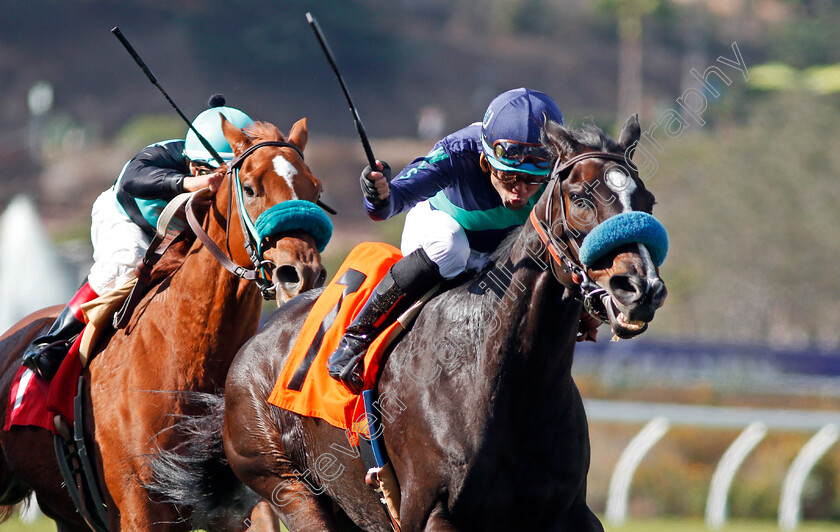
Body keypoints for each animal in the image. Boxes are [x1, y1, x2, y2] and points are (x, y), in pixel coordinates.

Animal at [0, 115, 330, 528]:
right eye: (251, 188)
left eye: (315, 191)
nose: (301, 273)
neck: (183, 358)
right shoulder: (139, 506)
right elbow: (139, 173)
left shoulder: (243, 499)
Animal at [148, 114, 668, 528]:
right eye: (579, 197)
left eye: (647, 199)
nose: (639, 287)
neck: (506, 378)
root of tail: (248, 353)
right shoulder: (432, 511)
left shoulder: (567, 513)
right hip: (286, 483)